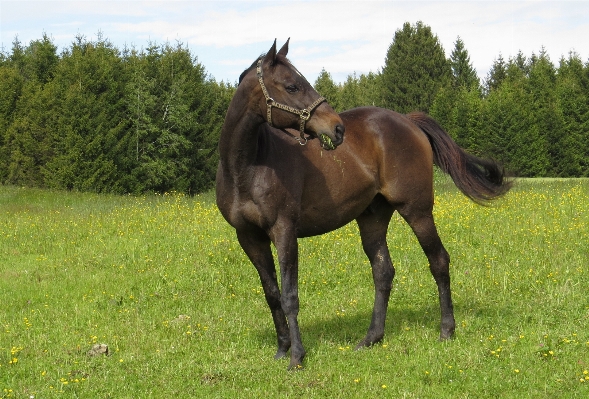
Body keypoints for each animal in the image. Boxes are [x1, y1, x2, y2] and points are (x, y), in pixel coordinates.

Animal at [216, 39, 510, 370]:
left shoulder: (284, 232)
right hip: (373, 217)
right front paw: (281, 349)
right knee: (383, 272)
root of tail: (408, 121)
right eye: (292, 86)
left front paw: (296, 357)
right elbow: (272, 294)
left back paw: (446, 330)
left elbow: (290, 296)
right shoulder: (249, 238)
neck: (248, 166)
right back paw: (372, 337)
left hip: (418, 211)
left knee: (439, 261)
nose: (337, 128)